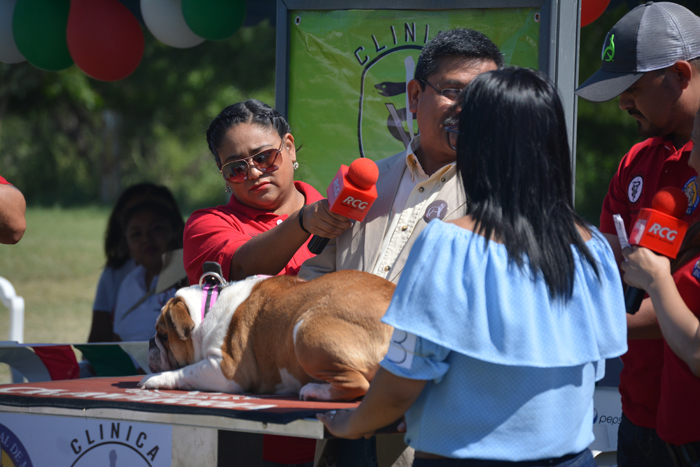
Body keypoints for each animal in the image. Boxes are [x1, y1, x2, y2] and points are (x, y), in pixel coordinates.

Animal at [138, 269, 395, 401]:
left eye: (163, 335)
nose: (150, 342)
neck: (207, 307)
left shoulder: (225, 371)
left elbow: (185, 371)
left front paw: (155, 379)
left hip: (304, 330)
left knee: (358, 385)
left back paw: (315, 391)